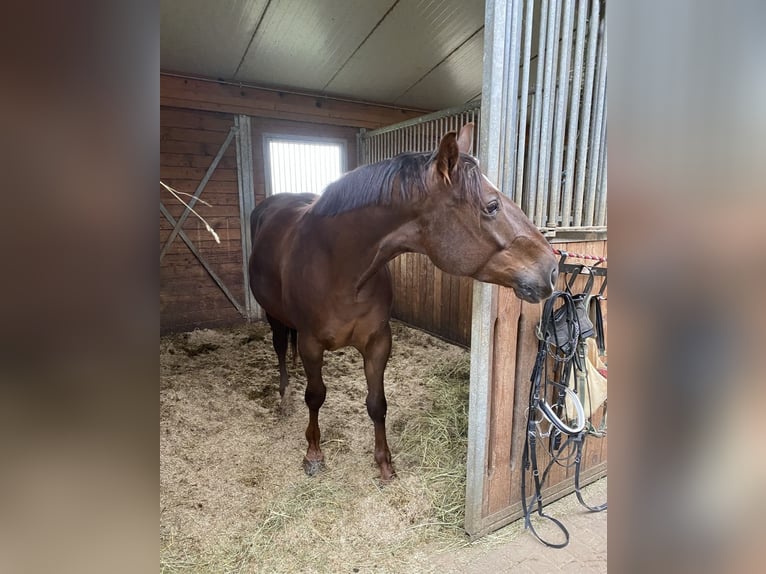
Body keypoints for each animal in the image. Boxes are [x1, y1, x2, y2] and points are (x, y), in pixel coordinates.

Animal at [252, 125, 560, 482]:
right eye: (492, 206)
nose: (552, 269)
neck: (338, 267)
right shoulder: (311, 343)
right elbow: (315, 397)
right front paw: (314, 453)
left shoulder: (378, 341)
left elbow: (377, 403)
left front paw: (385, 463)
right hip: (274, 315)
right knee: (279, 348)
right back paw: (284, 395)